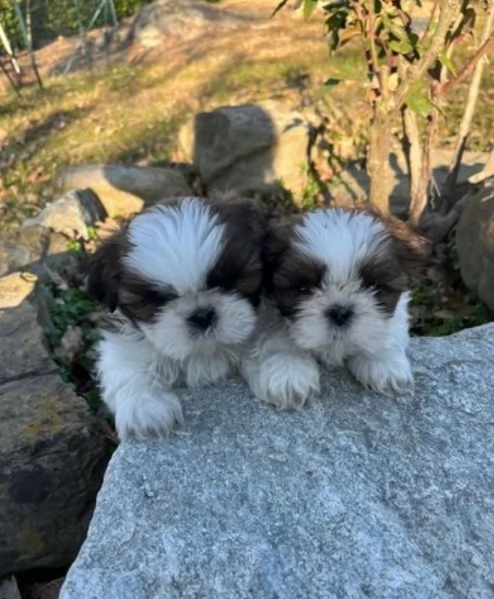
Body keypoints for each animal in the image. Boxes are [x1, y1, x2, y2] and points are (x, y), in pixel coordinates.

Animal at [87, 193, 268, 440]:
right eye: (156, 300)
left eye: (230, 282)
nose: (202, 315)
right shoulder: (121, 335)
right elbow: (124, 363)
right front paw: (144, 408)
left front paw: (282, 373)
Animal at [241, 207, 430, 412]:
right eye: (303, 289)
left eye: (373, 286)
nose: (340, 312)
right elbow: (275, 339)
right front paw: (288, 371)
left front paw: (383, 362)